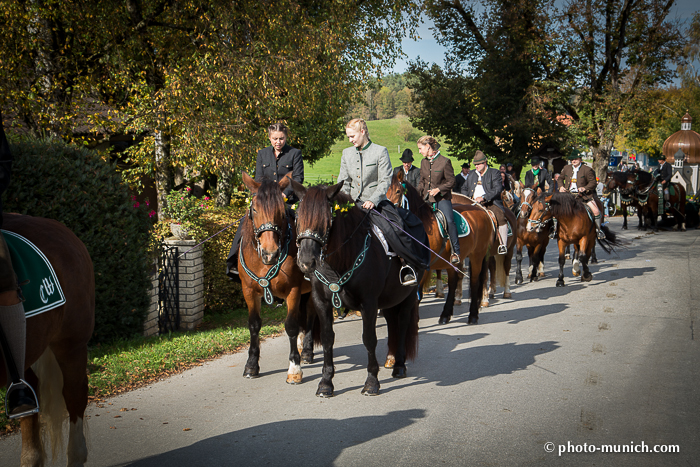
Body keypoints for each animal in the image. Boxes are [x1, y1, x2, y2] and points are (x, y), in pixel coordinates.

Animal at [237, 173, 314, 384]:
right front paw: (251, 365)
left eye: (280, 210)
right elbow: (254, 325)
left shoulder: (293, 290)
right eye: (254, 209)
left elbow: (291, 326)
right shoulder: (249, 291)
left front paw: (294, 369)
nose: (270, 253)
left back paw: (306, 351)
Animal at [292, 182, 422, 398]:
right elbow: (327, 339)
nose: (306, 262)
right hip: (389, 299)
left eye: (327, 220)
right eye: (296, 217)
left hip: (409, 296)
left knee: (402, 323)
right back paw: (392, 359)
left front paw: (371, 382)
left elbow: (369, 339)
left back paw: (399, 365)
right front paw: (325, 383)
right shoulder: (322, 302)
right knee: (392, 323)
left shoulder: (368, 304)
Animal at [386, 172, 494, 326]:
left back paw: (473, 315)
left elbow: (417, 296)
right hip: (452, 261)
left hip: (477, 256)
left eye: (398, 191)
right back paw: (445, 315)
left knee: (474, 281)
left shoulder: (424, 267)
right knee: (453, 282)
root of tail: (482, 210)